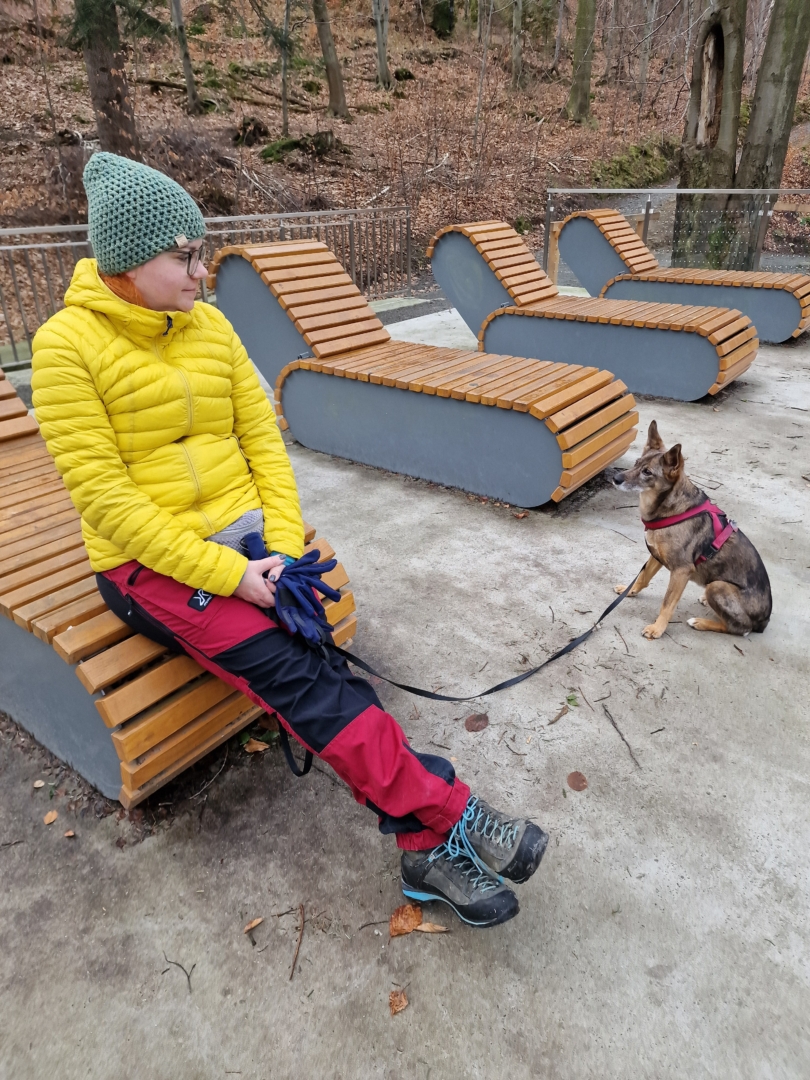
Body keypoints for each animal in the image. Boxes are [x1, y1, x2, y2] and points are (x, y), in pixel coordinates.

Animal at [613, 419, 773, 635]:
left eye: (647, 472)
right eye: (636, 463)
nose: (616, 479)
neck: (671, 509)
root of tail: (764, 622)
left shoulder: (681, 571)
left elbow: (667, 603)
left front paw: (657, 629)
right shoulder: (656, 556)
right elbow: (643, 576)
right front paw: (630, 591)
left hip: (718, 586)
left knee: (737, 628)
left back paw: (700, 622)